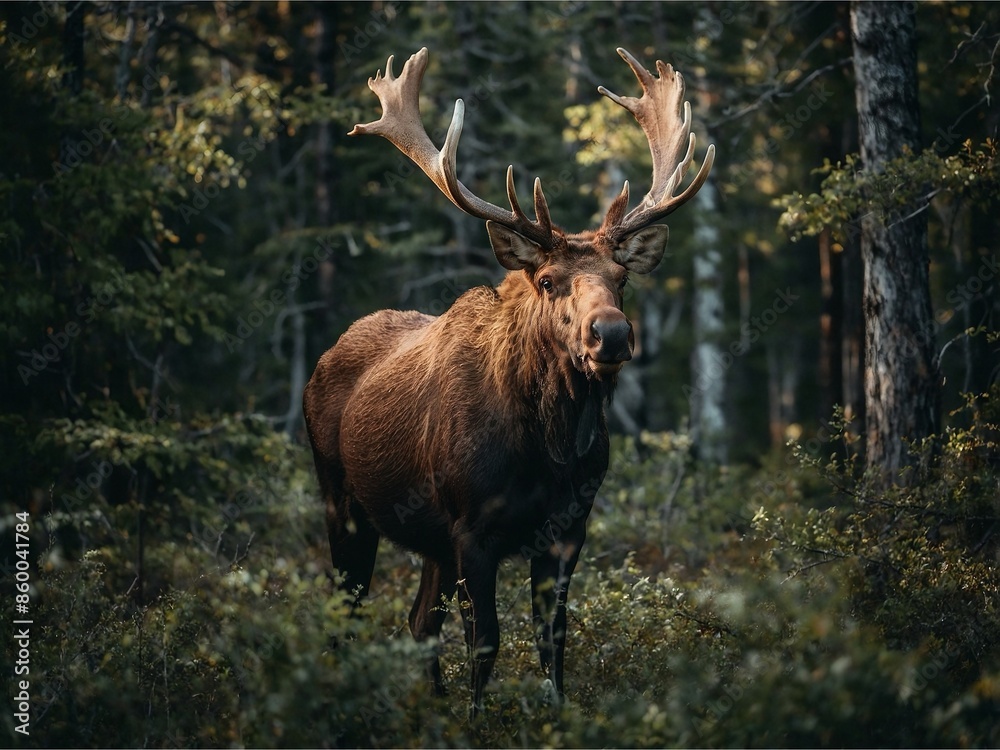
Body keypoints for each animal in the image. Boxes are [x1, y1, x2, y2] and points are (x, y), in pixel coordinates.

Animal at [303, 46, 714, 714]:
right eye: (547, 280)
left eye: (621, 279)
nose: (612, 335)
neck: (547, 451)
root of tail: (323, 359)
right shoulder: (474, 528)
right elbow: (487, 642)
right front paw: (476, 721)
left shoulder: (568, 528)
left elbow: (553, 640)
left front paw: (554, 716)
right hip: (343, 500)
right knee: (347, 610)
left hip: (430, 538)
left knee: (419, 621)